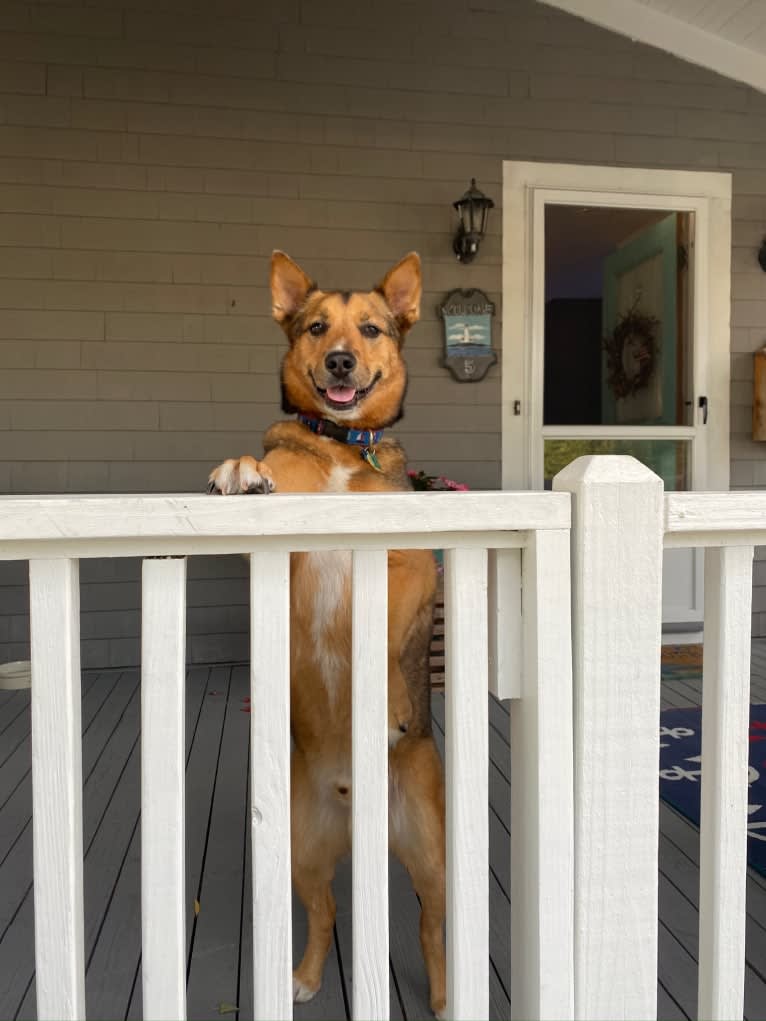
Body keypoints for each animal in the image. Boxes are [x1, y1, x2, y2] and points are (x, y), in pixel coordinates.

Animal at [208, 251, 449, 1016]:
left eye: (370, 328)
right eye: (316, 327)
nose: (342, 360)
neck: (344, 449)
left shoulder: (413, 564)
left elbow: (389, 623)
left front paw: (393, 700)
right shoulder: (277, 555)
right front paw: (242, 469)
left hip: (433, 856)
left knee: (432, 927)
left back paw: (442, 994)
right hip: (301, 853)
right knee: (325, 913)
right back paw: (308, 975)